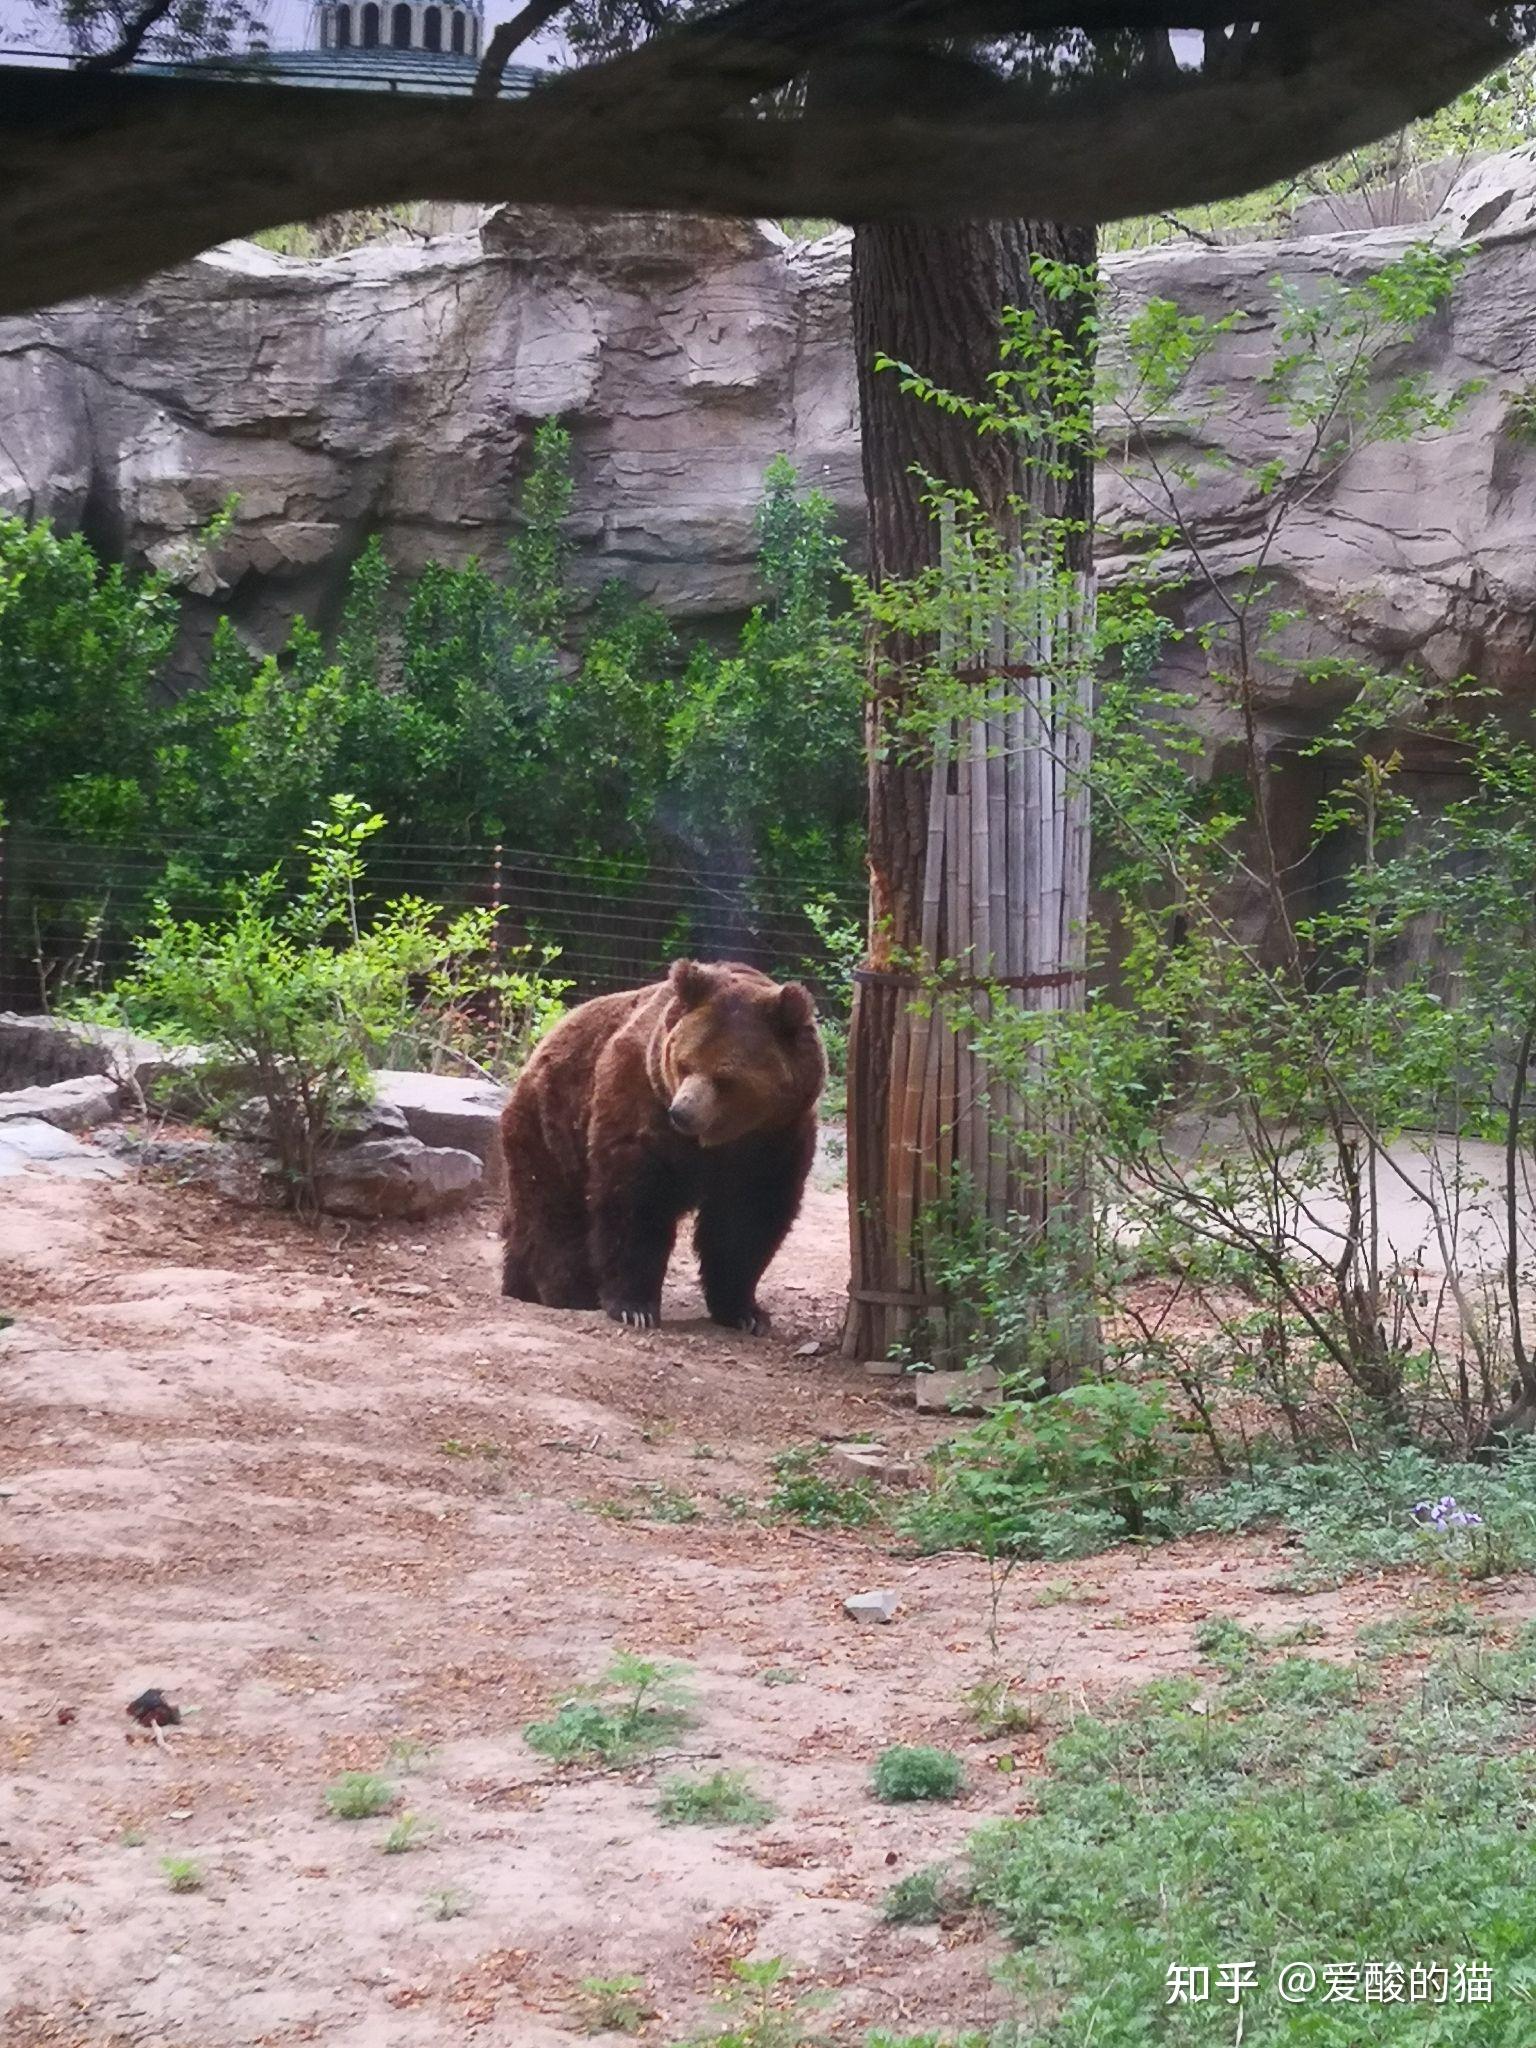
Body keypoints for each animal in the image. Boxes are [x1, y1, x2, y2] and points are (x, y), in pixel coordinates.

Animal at [501, 954, 831, 1327]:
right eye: (684, 1064)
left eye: (725, 1078)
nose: (682, 1112)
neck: (718, 1141)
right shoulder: (641, 1100)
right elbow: (635, 1201)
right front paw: (634, 1306)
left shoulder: (776, 1137)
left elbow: (748, 1218)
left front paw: (745, 1312)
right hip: (554, 1123)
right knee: (553, 1208)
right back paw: (570, 1291)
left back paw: (520, 1285)